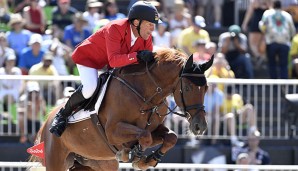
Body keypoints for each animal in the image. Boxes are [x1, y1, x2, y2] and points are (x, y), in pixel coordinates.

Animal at [31, 47, 213, 170]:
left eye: (206, 88)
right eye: (187, 88)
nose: (200, 126)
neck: (146, 95)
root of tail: (46, 122)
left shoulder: (154, 129)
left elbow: (171, 137)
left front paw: (149, 160)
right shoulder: (113, 131)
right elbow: (145, 136)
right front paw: (134, 156)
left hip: (95, 163)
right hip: (56, 160)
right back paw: (59, 122)